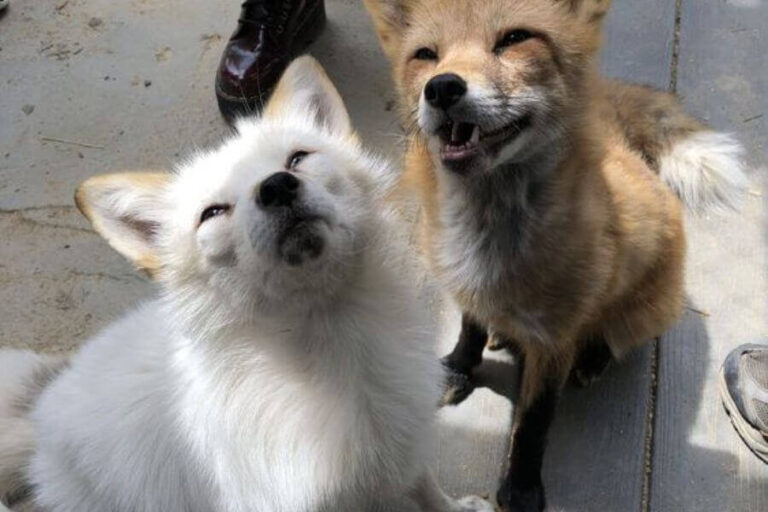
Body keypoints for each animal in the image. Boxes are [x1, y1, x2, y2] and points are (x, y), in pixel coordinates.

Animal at [0, 57, 494, 512]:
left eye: (298, 159)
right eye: (213, 213)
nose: (276, 187)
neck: (332, 344)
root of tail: (41, 407)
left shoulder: (403, 443)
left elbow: (428, 488)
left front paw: (457, 508)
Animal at [363, 0, 749, 511]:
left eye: (514, 39)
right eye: (426, 55)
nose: (442, 87)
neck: (490, 245)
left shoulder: (555, 339)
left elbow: (533, 424)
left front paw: (523, 488)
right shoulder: (466, 290)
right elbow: (468, 331)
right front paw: (458, 368)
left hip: (649, 312)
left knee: (615, 336)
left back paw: (593, 359)